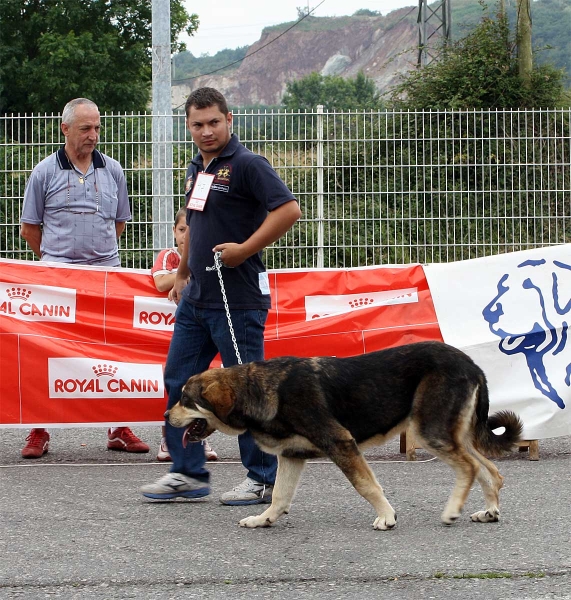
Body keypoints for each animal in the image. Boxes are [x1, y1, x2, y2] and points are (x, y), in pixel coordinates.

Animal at [165, 342, 524, 528]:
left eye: (185, 399)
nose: (167, 416)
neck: (259, 390)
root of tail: (471, 363)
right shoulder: (292, 456)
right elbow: (280, 495)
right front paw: (263, 519)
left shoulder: (340, 442)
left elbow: (366, 485)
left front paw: (386, 516)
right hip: (452, 434)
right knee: (491, 471)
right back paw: (489, 511)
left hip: (430, 432)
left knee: (470, 467)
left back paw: (452, 510)